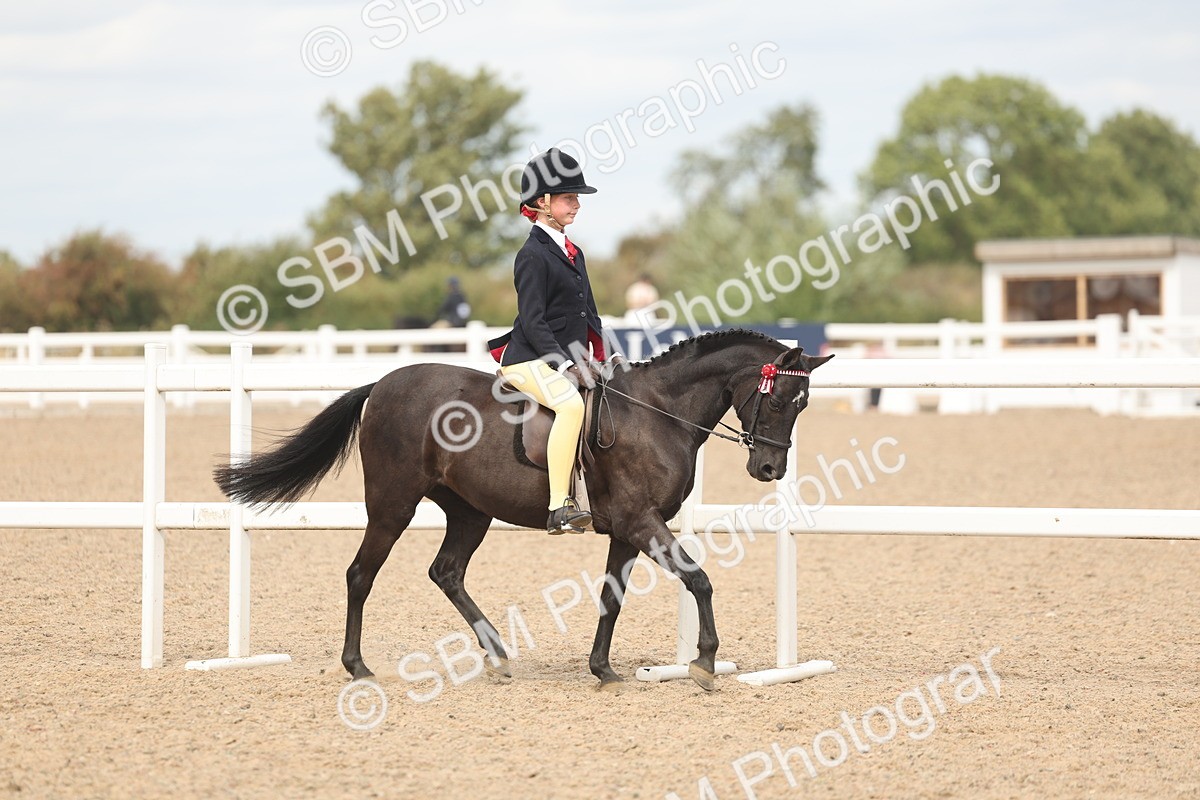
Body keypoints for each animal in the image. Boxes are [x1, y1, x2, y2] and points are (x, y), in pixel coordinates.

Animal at [213, 329, 832, 690]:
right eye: (779, 398)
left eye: (803, 404)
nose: (770, 470)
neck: (658, 411)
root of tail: (384, 382)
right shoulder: (642, 522)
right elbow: (699, 578)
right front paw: (704, 663)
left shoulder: (627, 529)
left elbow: (611, 597)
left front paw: (603, 670)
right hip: (393, 504)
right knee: (361, 573)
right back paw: (358, 666)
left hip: (469, 511)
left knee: (446, 572)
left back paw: (497, 655)